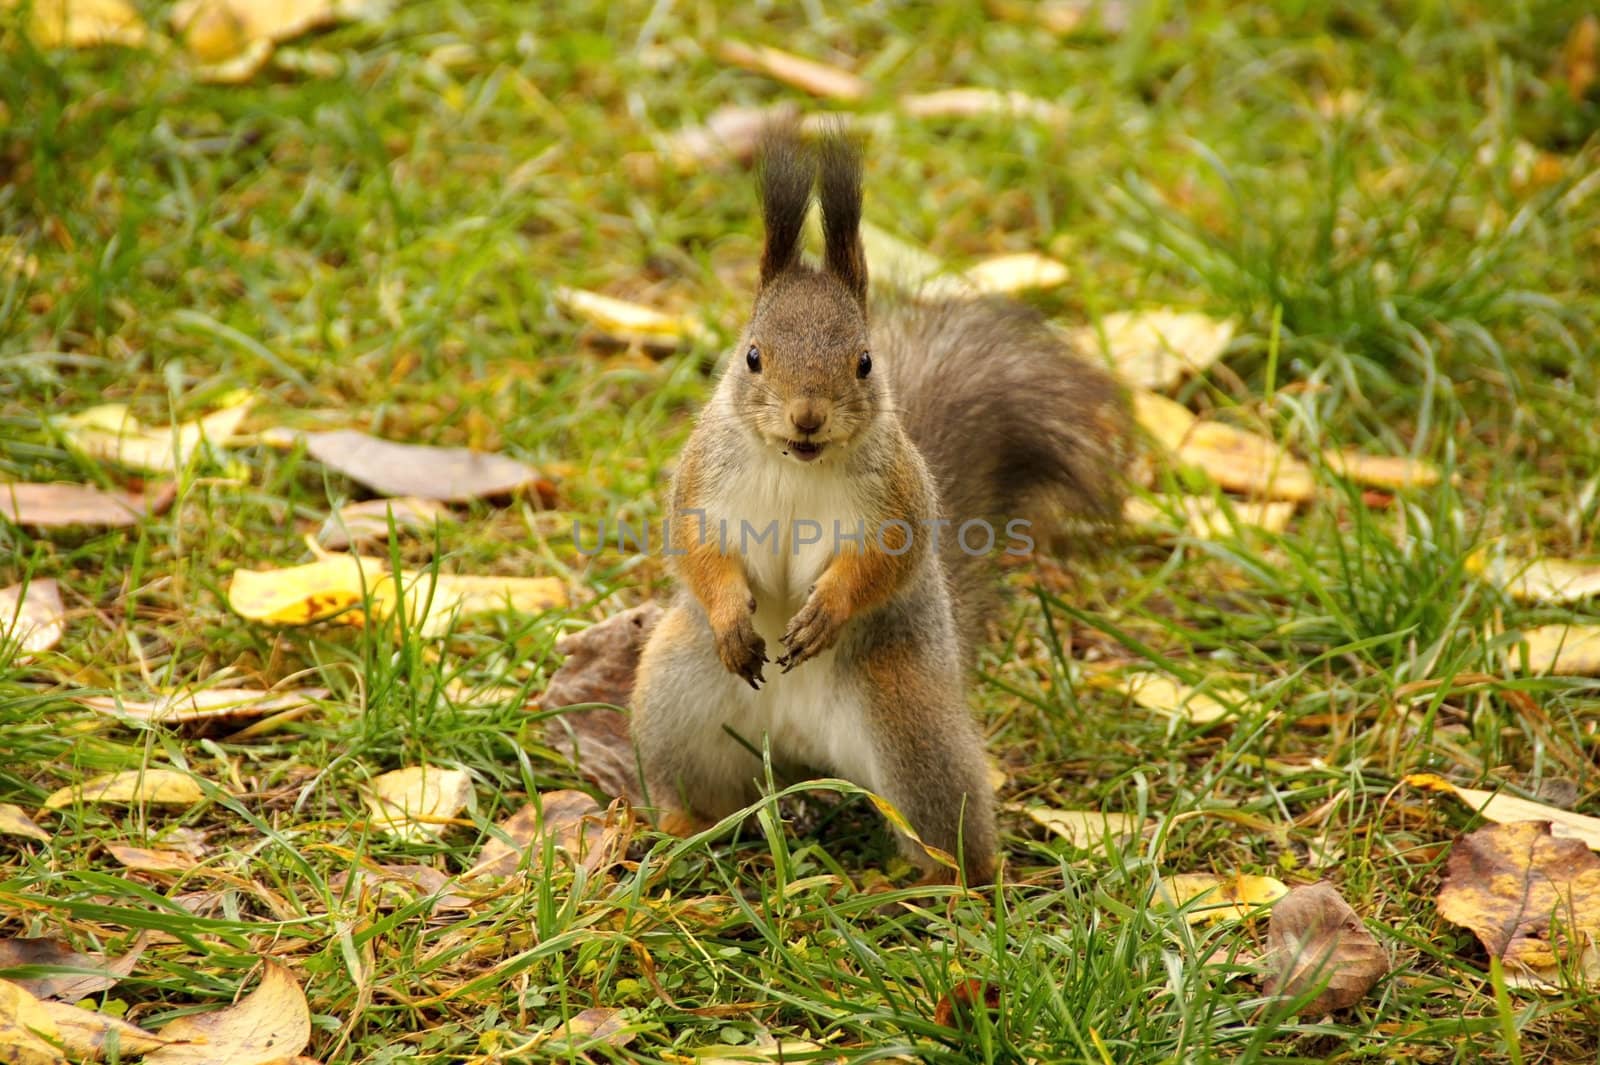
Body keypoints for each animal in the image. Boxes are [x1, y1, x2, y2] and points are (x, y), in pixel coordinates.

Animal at [630, 124, 1132, 882]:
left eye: (864, 361)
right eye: (752, 356)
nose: (807, 417)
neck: (796, 465)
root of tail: (801, 744)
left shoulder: (897, 500)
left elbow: (881, 566)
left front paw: (825, 612)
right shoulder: (701, 484)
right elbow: (698, 551)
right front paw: (732, 618)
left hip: (909, 721)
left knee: (944, 823)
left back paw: (945, 884)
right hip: (675, 699)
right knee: (697, 788)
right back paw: (674, 835)